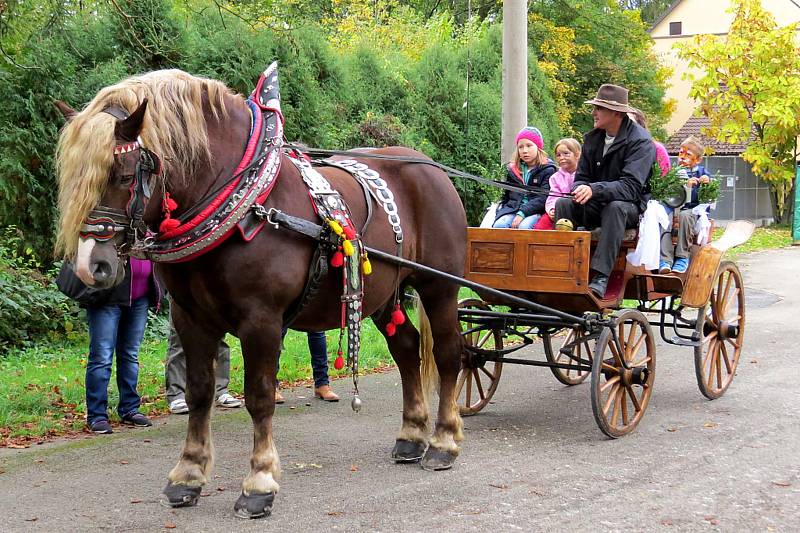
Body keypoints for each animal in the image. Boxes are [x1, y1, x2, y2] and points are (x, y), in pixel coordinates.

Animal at [54, 68, 468, 516]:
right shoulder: (189, 317)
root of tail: (429, 167)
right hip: (381, 294)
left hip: (440, 286)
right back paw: (411, 436)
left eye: (125, 175)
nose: (91, 266)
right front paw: (188, 475)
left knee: (449, 354)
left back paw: (443, 441)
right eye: (72, 181)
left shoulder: (262, 320)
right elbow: (199, 392)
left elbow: (260, 396)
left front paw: (260, 482)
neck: (240, 202)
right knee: (407, 349)